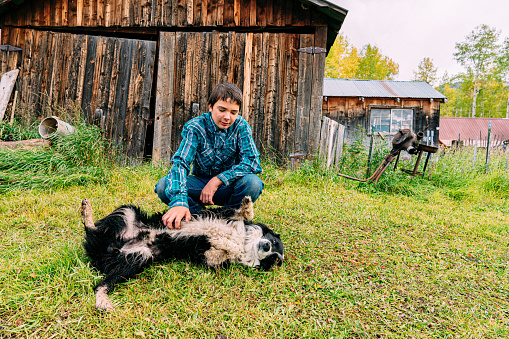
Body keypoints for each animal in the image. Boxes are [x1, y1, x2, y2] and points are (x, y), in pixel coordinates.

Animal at [81, 198, 284, 312]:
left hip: (137, 257)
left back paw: (103, 301)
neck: (244, 241)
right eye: (274, 242)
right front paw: (247, 207)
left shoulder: (207, 256)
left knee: (101, 285)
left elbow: (227, 249)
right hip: (128, 212)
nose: (267, 246)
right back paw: (86, 211)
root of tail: (105, 248)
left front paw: (228, 244)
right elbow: (240, 214)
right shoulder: (217, 214)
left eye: (273, 259)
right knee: (92, 229)